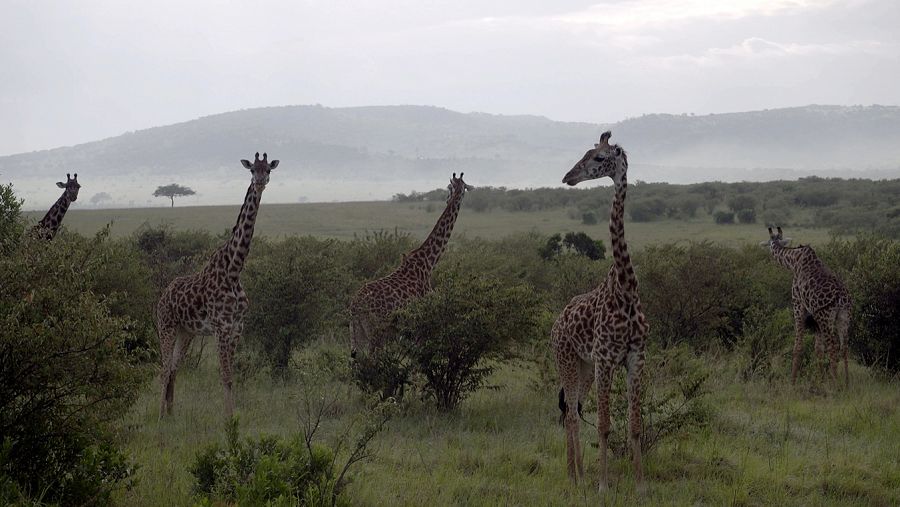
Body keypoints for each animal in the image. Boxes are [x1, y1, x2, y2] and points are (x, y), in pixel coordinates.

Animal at [156, 150, 278, 416]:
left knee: (174, 367)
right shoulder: (221, 328)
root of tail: (163, 294)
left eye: (268, 170)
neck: (233, 270)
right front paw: (228, 421)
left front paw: (233, 418)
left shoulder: (237, 328)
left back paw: (171, 413)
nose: (260, 182)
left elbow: (231, 376)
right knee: (163, 368)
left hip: (187, 332)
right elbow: (226, 377)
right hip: (166, 326)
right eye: (252, 169)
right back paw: (159, 415)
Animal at [348, 173, 474, 360]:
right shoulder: (422, 323)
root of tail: (355, 305)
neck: (429, 263)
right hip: (375, 331)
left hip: (357, 331)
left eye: (451, 188)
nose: (447, 199)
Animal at [548, 131, 648, 492]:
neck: (627, 290)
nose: (568, 176)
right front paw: (603, 486)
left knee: (573, 409)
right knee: (571, 413)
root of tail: (557, 322)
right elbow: (604, 425)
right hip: (566, 360)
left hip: (584, 367)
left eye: (598, 158)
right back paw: (574, 477)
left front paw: (640, 486)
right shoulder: (606, 359)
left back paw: (577, 472)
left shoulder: (635, 358)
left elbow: (634, 425)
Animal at [760, 226, 852, 384]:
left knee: (833, 346)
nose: (771, 254)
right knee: (844, 346)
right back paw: (846, 384)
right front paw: (820, 381)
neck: (794, 260)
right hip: (843, 317)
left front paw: (792, 382)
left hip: (825, 317)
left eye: (769, 244)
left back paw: (835, 384)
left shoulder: (797, 303)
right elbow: (818, 349)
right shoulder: (814, 318)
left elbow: (798, 346)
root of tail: (841, 297)